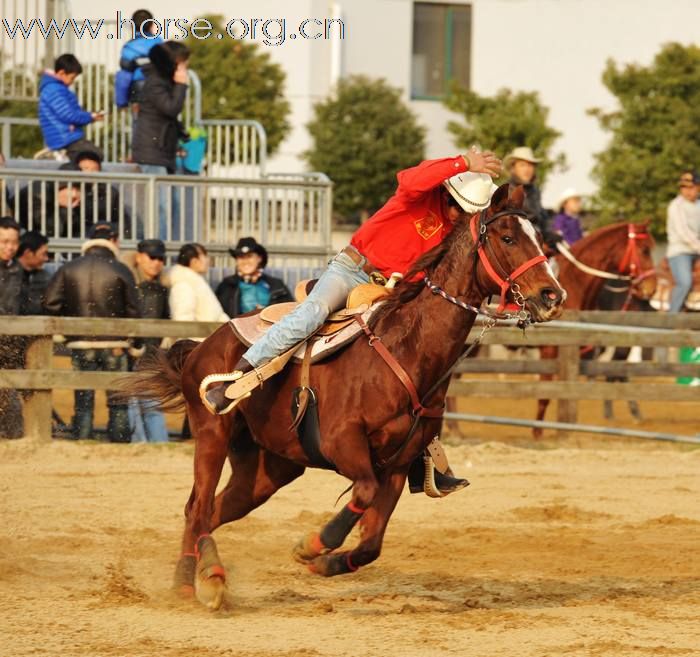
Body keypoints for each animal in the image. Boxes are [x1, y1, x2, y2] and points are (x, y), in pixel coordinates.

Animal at [131, 183, 568, 608]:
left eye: (539, 238)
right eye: (508, 237)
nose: (553, 296)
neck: (406, 349)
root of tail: (203, 345)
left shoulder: (397, 466)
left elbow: (371, 544)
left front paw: (326, 563)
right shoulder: (343, 442)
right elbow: (363, 491)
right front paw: (312, 546)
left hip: (268, 469)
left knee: (213, 511)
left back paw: (202, 579)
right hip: (212, 434)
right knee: (199, 506)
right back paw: (195, 581)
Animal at [532, 222, 660, 436]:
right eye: (645, 250)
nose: (652, 288)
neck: (572, 284)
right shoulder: (549, 348)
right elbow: (545, 393)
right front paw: (537, 433)